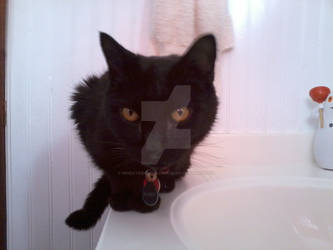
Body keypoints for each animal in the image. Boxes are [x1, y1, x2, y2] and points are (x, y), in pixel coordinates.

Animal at [65, 32, 218, 229]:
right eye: (129, 113)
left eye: (180, 113)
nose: (152, 148)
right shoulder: (95, 137)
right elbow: (113, 172)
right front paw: (123, 199)